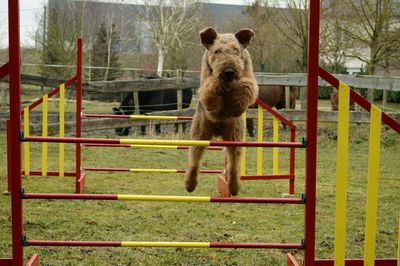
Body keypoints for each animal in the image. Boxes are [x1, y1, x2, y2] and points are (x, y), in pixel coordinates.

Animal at [185, 27, 260, 195]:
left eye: (236, 50)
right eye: (217, 51)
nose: (229, 71)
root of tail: (218, 130)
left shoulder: (247, 74)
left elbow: (246, 86)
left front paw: (236, 107)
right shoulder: (206, 81)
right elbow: (211, 86)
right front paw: (219, 86)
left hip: (235, 138)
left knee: (233, 165)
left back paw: (234, 187)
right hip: (199, 135)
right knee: (194, 161)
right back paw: (189, 184)